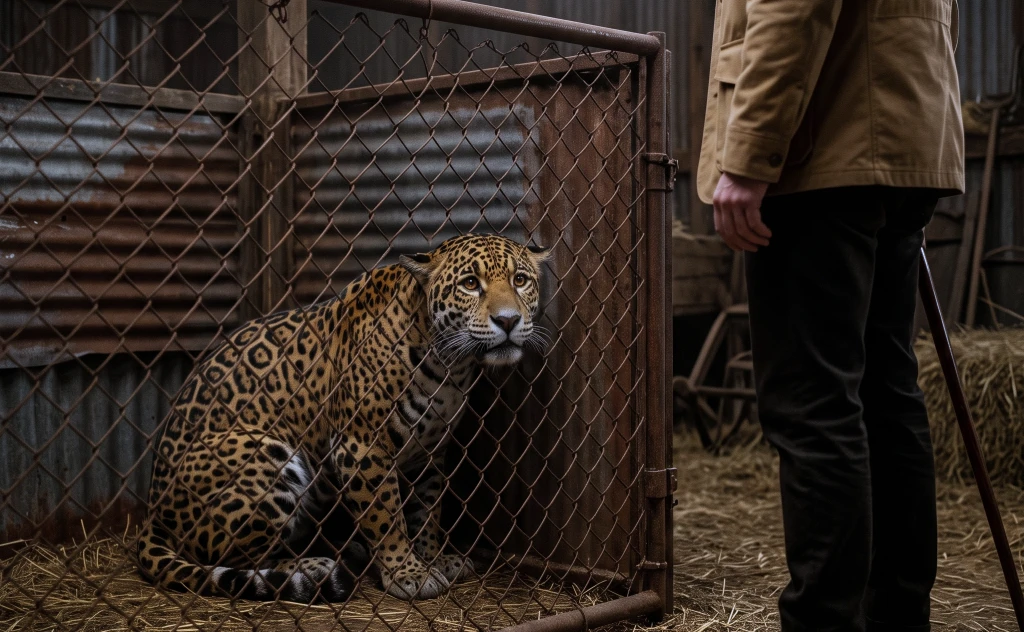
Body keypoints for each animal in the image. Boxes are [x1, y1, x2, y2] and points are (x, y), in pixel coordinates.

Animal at [137, 233, 549, 603]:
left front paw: (433, 558)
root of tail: (152, 511)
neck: (450, 365)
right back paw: (312, 566)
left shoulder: (431, 451)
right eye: (470, 284)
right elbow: (387, 516)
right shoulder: (361, 447)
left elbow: (427, 510)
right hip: (262, 453)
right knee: (237, 558)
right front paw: (408, 573)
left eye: (520, 280)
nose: (508, 321)